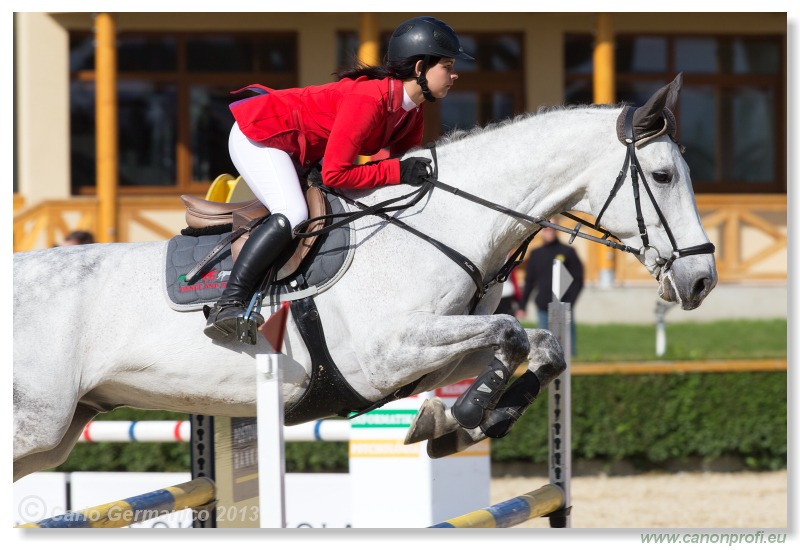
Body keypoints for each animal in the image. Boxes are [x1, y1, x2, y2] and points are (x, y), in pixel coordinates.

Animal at [12, 74, 716, 484]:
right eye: (662, 176)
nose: (703, 279)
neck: (447, 220)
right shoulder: (387, 352)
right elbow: (513, 333)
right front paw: (466, 414)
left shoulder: (426, 353)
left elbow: (537, 344)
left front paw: (455, 422)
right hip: (37, 425)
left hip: (56, 434)